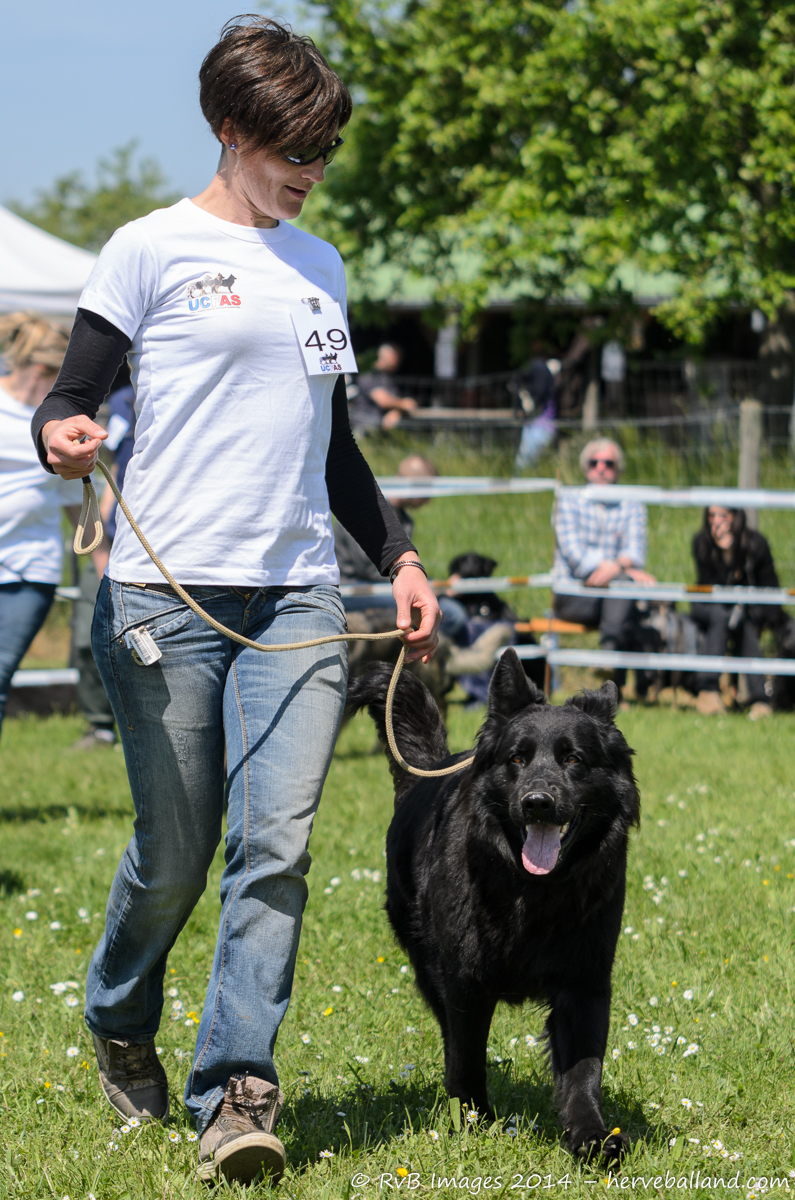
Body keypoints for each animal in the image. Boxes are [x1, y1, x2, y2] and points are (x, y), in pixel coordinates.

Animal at [347, 648, 639, 1163]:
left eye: (574, 759)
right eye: (518, 758)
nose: (538, 803)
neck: (535, 892)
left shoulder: (586, 982)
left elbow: (583, 1071)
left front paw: (591, 1135)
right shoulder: (465, 985)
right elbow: (468, 1059)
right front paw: (474, 1123)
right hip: (429, 967)